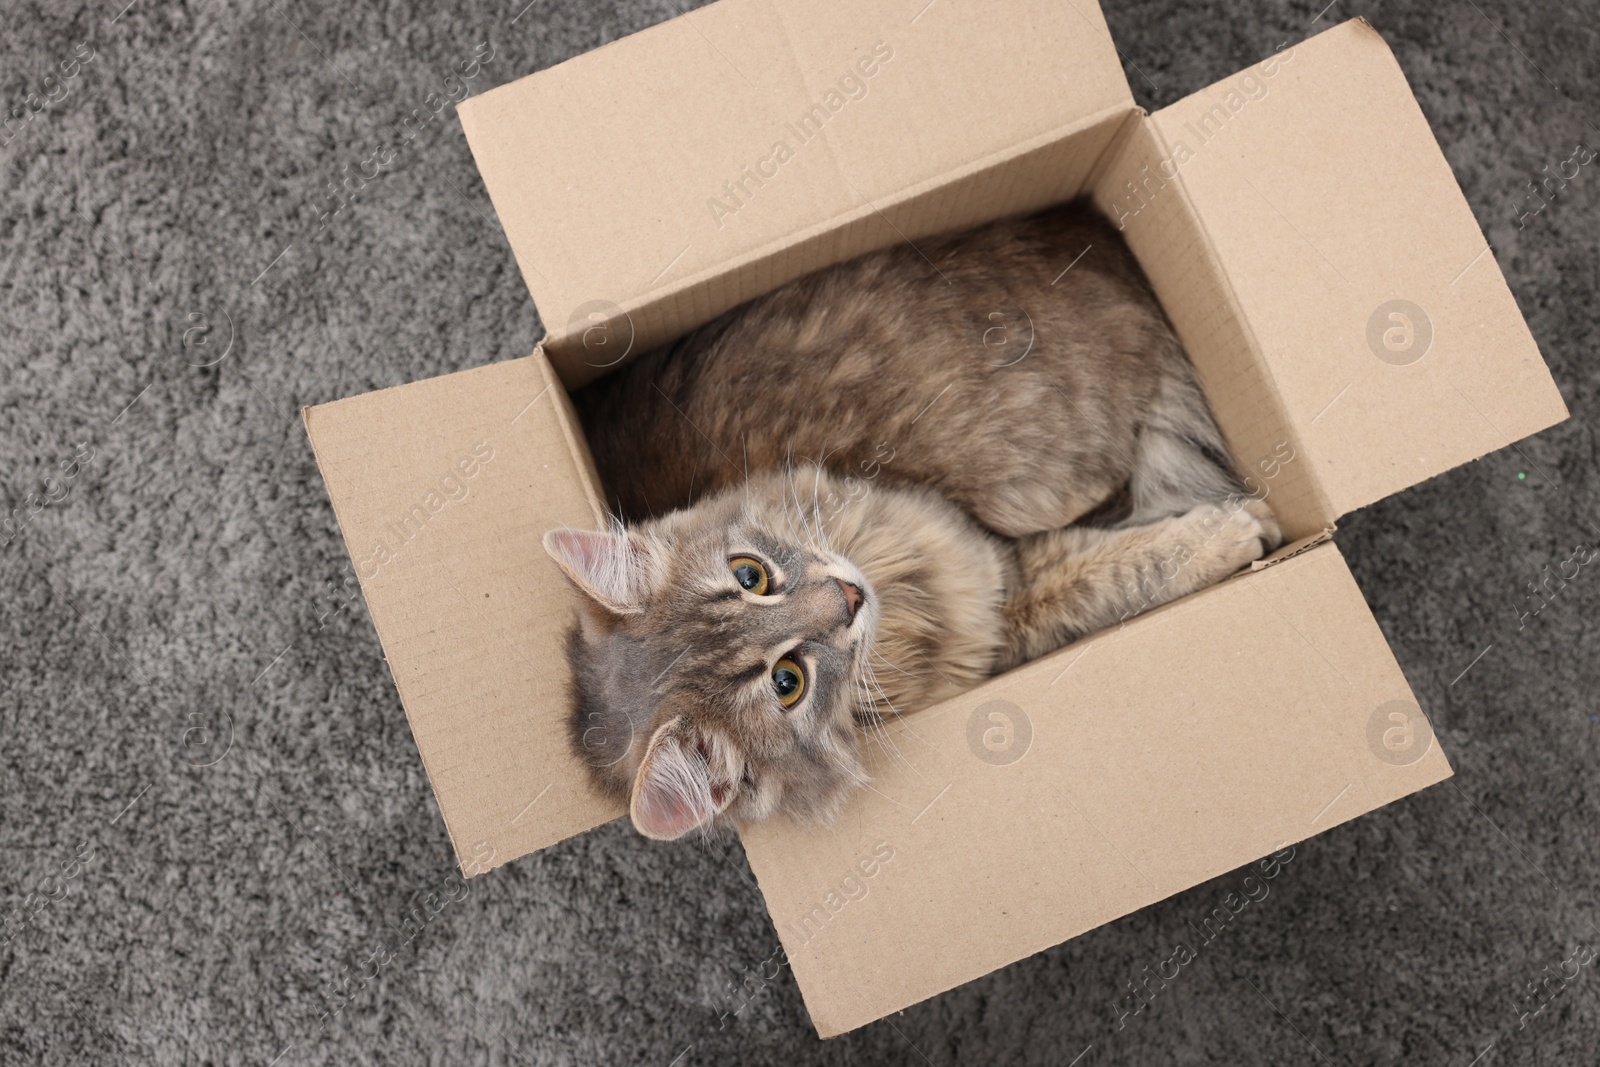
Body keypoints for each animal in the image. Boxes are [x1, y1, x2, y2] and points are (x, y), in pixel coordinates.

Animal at [544, 202, 1280, 844]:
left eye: (750, 574)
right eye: (788, 683)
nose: (848, 595)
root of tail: (1088, 231)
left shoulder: (983, 559)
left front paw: (1241, 523)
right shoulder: (1009, 598)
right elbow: (1118, 573)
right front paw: (1239, 529)